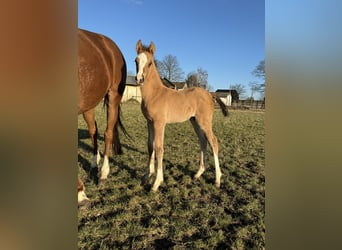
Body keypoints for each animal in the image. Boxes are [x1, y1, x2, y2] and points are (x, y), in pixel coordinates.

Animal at [78, 28, 127, 206]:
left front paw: (80, 195)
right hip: (88, 104)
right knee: (93, 131)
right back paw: (94, 163)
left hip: (113, 97)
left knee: (108, 133)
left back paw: (104, 174)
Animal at [135, 39, 228, 191]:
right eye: (136, 60)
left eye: (149, 63)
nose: (139, 79)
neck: (155, 94)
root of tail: (210, 94)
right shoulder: (149, 122)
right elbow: (150, 146)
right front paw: (146, 176)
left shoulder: (159, 123)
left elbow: (159, 148)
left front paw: (156, 182)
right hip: (194, 121)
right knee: (203, 141)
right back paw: (198, 173)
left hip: (204, 122)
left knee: (213, 142)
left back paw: (217, 180)